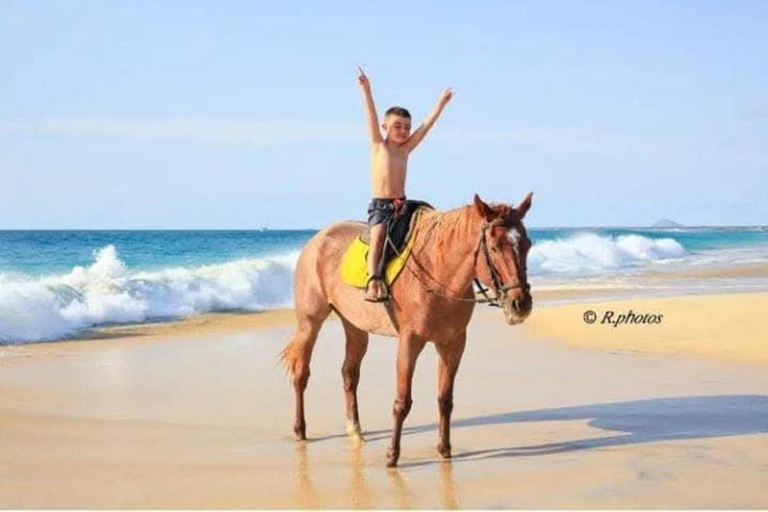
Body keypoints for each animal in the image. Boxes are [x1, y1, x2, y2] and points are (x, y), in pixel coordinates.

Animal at [280, 193, 533, 467]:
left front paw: (444, 450)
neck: (439, 273)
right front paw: (392, 455)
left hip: (355, 327)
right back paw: (299, 430)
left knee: (349, 374)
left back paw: (355, 431)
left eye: (527, 245)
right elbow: (402, 402)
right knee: (301, 374)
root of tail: (316, 240)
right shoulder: (410, 342)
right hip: (310, 322)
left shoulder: (453, 343)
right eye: (495, 247)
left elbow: (445, 399)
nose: (520, 304)